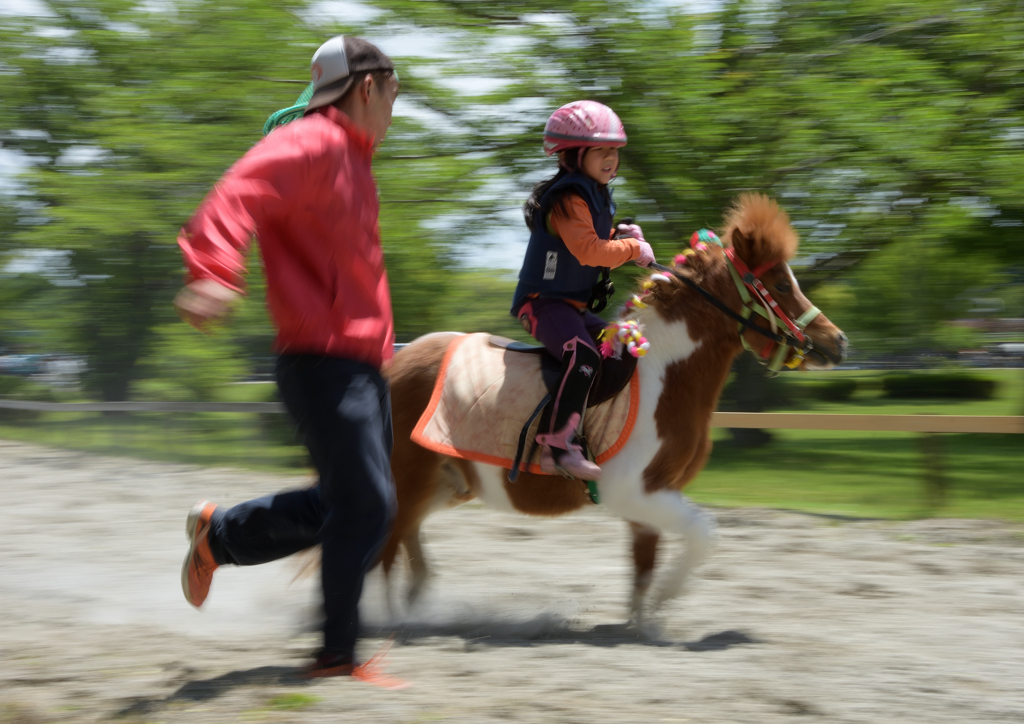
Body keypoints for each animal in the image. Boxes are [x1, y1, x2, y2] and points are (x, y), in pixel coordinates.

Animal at [380, 195, 843, 626]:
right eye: (780, 284)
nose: (836, 341)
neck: (660, 374)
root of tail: (394, 364)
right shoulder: (636, 493)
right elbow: (703, 534)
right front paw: (665, 600)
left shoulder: (653, 501)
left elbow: (643, 570)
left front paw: (643, 623)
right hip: (410, 481)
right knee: (384, 551)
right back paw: (388, 618)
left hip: (445, 484)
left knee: (408, 544)